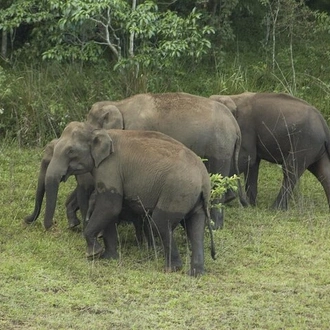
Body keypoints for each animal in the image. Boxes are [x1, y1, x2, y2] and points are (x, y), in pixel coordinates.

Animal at [41, 121, 215, 276]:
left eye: (70, 151)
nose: (51, 226)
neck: (99, 131)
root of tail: (203, 179)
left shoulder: (110, 168)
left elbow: (110, 206)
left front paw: (93, 254)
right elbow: (110, 211)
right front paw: (108, 258)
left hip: (176, 192)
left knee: (160, 223)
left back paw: (171, 269)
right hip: (194, 199)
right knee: (195, 227)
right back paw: (195, 273)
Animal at [86, 91, 246, 228]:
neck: (119, 104)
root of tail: (235, 125)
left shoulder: (138, 128)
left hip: (220, 146)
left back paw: (214, 225)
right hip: (226, 146)